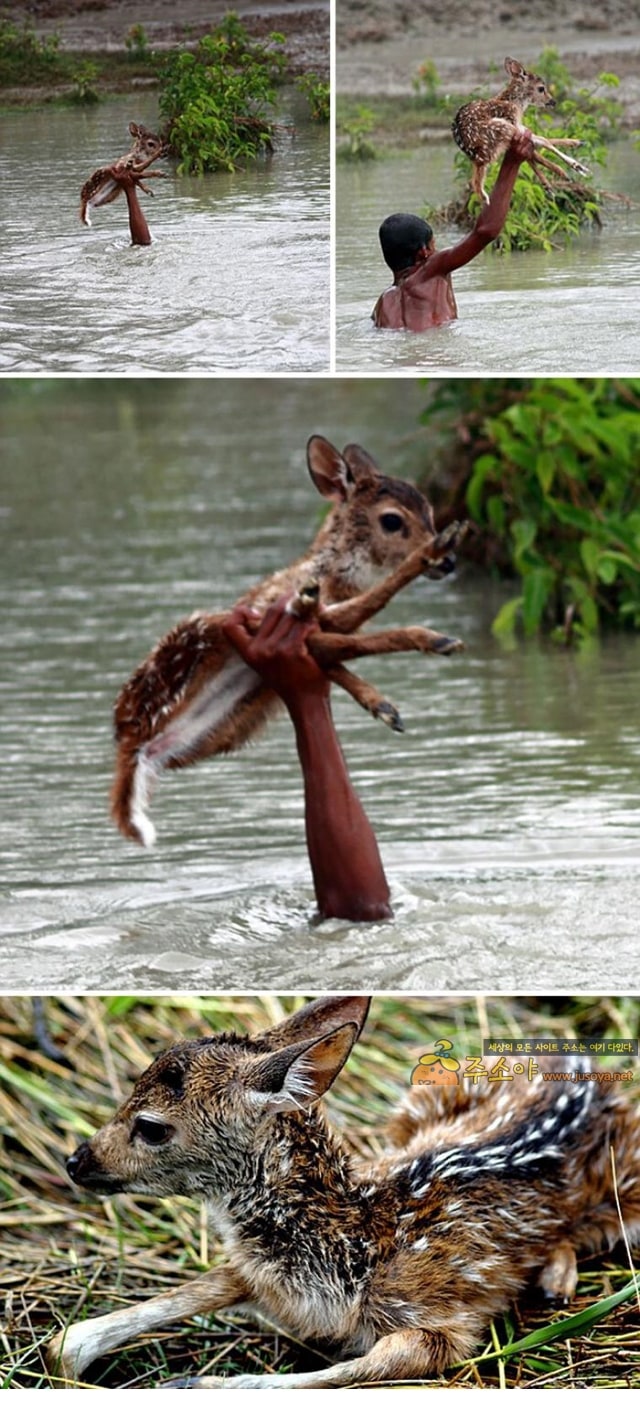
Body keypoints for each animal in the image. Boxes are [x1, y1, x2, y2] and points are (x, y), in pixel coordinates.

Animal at [49, 997, 638, 1389]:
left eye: (151, 1127)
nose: (76, 1161)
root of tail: (584, 1062)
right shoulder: (258, 1274)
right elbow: (194, 1291)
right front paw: (66, 1351)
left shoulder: (442, 1321)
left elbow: (360, 1367)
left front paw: (195, 1384)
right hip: (420, 1102)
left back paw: (555, 1282)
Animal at [112, 437, 467, 846]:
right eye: (392, 520)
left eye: (429, 509)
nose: (449, 562)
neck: (332, 578)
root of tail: (131, 743)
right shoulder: (272, 613)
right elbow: (351, 632)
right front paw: (432, 636)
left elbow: (342, 650)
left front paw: (383, 705)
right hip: (199, 634)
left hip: (232, 724)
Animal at [450, 57, 585, 203]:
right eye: (541, 88)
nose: (553, 101)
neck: (514, 103)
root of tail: (478, 155)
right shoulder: (512, 121)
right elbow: (543, 141)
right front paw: (575, 165)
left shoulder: (518, 126)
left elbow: (541, 140)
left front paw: (576, 144)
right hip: (501, 128)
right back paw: (565, 172)